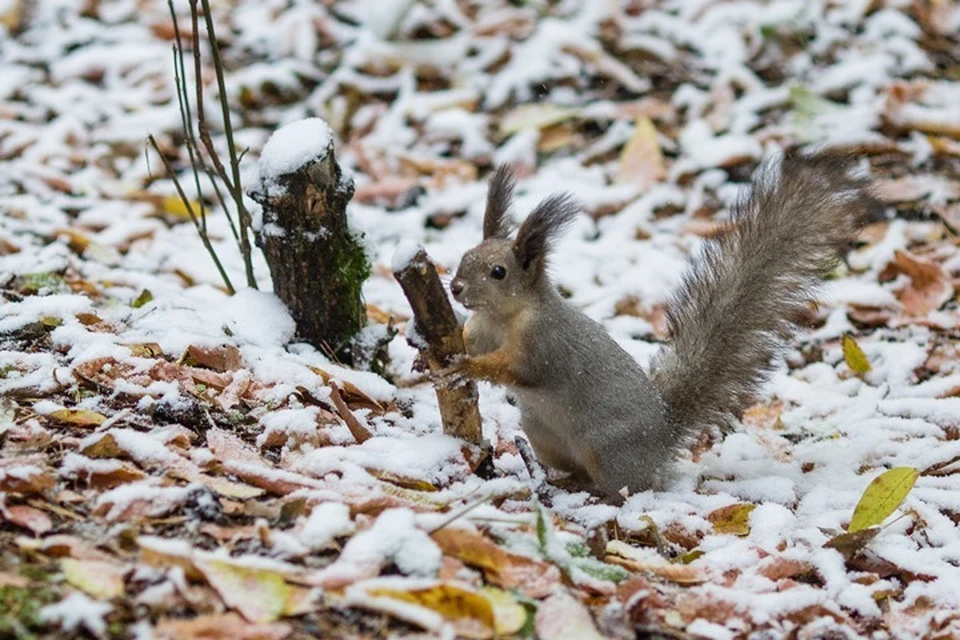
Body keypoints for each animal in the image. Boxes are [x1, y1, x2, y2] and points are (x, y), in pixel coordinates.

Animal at [446, 152, 872, 498]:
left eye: (498, 272)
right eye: (465, 255)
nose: (456, 288)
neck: (503, 317)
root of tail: (664, 435)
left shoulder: (543, 343)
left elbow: (515, 368)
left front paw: (466, 367)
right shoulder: (482, 329)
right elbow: (470, 341)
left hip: (607, 449)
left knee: (624, 487)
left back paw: (592, 491)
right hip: (542, 434)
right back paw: (561, 479)